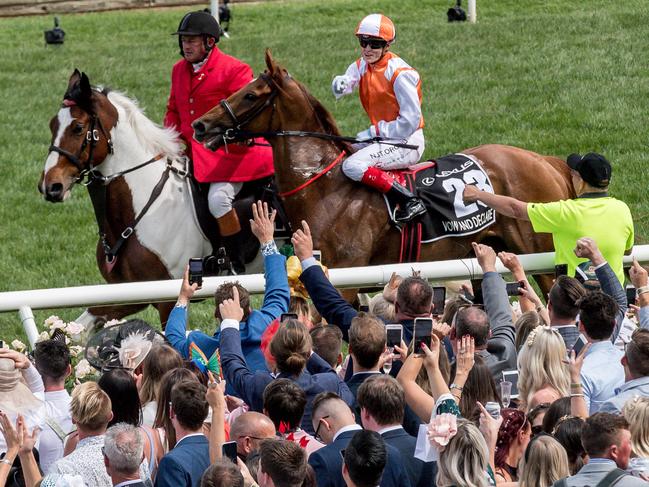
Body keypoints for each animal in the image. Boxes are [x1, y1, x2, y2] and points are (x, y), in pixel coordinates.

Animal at [39, 69, 213, 328]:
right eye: (52, 125)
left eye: (78, 128)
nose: (50, 186)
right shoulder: (131, 293)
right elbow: (85, 323)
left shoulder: (167, 299)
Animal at [192, 51, 572, 294]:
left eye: (250, 94)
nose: (201, 125)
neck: (325, 188)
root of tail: (543, 160)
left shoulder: (346, 274)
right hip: (486, 252)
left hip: (542, 255)